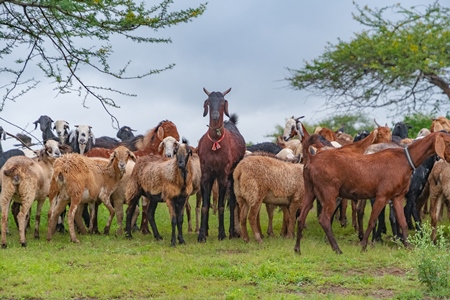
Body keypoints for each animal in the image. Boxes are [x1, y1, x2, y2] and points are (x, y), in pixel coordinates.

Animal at [296, 131, 450, 253]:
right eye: (447, 141)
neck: (406, 159)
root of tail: (311, 158)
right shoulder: (382, 196)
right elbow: (372, 221)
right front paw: (364, 245)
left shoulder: (397, 197)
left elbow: (402, 221)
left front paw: (406, 245)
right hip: (330, 193)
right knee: (324, 219)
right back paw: (337, 249)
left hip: (310, 191)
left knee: (301, 217)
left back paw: (297, 249)